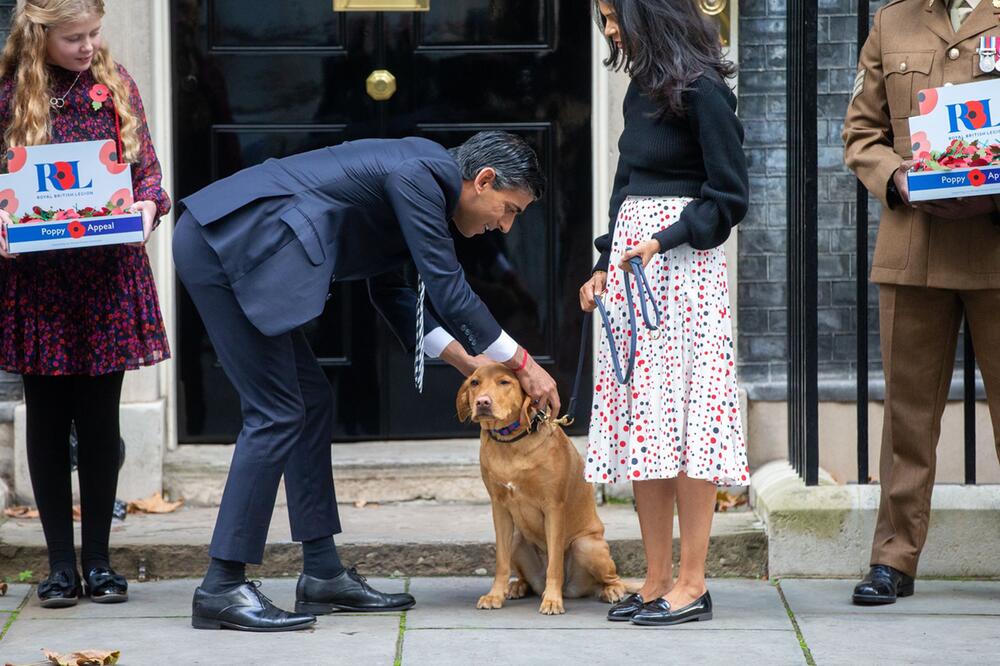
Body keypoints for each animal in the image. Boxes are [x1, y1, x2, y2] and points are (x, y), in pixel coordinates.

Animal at [458, 364, 628, 612]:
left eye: (504, 382)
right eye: (474, 382)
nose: (482, 402)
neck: (511, 442)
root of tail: (571, 589)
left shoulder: (554, 508)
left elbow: (555, 564)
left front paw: (552, 600)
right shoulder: (499, 508)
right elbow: (501, 562)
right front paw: (495, 595)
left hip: (586, 545)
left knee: (611, 579)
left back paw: (611, 590)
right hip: (517, 538)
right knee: (525, 573)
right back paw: (519, 586)